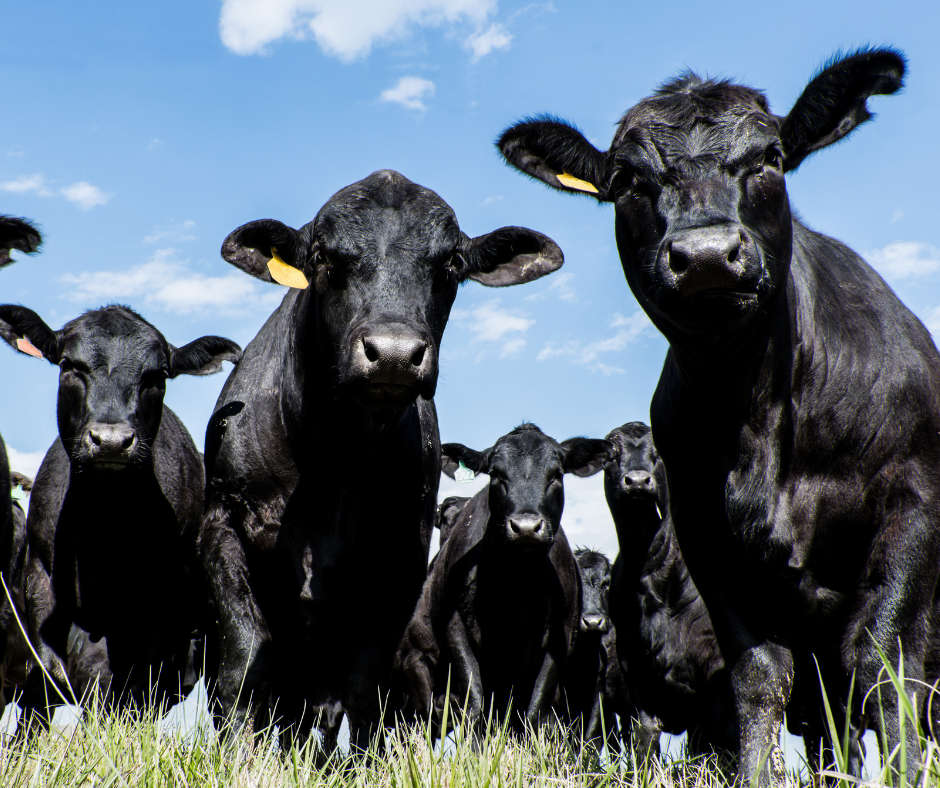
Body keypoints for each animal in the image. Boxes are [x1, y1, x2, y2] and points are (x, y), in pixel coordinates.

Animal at [0, 302, 241, 728]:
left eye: (157, 375)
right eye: (68, 365)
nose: (111, 441)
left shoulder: (161, 603)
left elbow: (130, 687)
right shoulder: (41, 579)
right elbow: (54, 674)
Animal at [201, 169, 560, 748]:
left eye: (450, 263)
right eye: (322, 256)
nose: (392, 353)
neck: (336, 461)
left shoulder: (400, 560)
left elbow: (362, 683)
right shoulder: (224, 523)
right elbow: (247, 655)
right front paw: (233, 751)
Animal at [394, 424, 608, 740]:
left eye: (556, 474)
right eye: (496, 473)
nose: (526, 527)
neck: (515, 585)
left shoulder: (559, 640)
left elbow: (534, 712)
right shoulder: (456, 628)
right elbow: (474, 704)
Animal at [604, 422, 736, 760]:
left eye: (659, 451)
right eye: (612, 451)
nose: (638, 481)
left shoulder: (716, 672)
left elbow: (711, 742)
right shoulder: (634, 666)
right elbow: (645, 736)